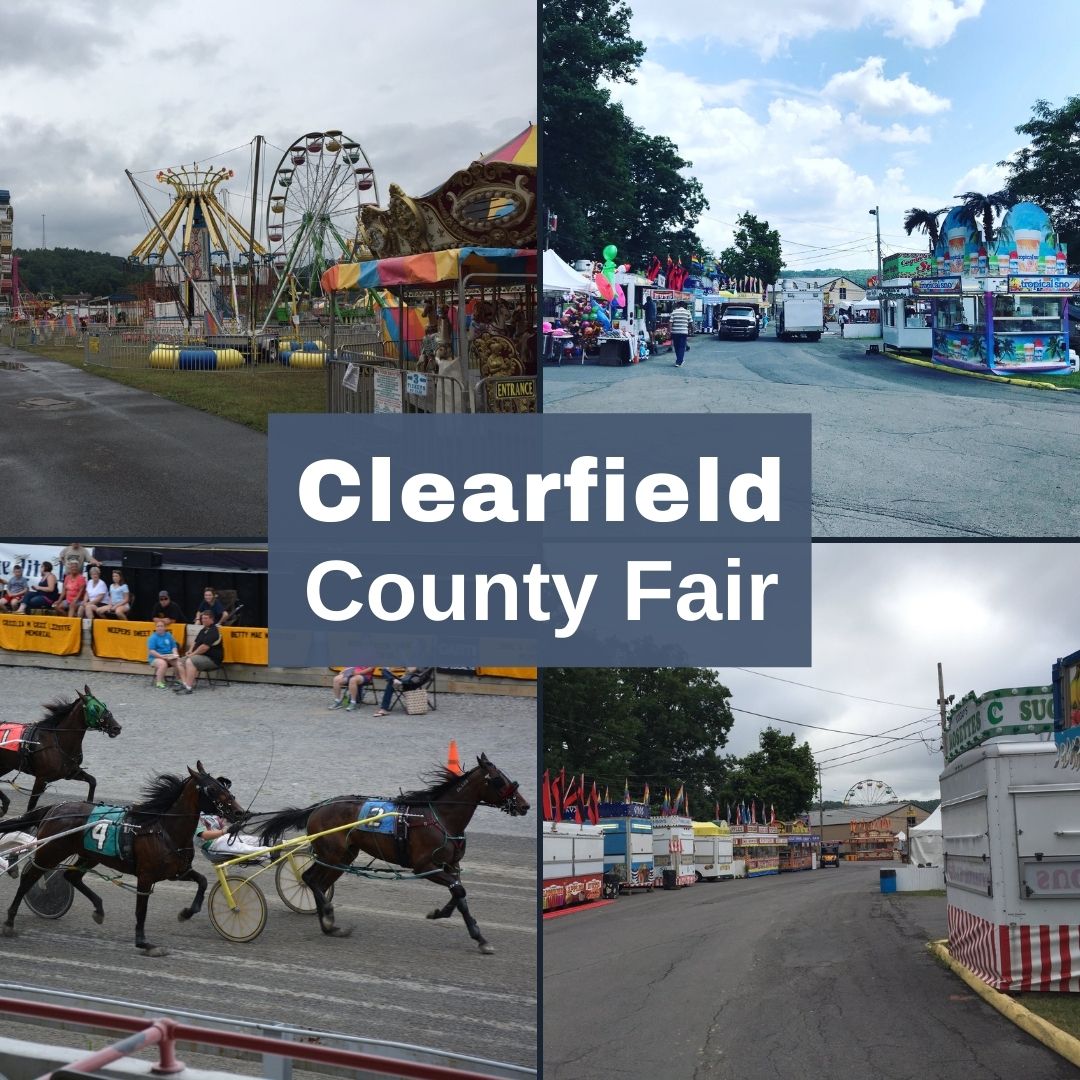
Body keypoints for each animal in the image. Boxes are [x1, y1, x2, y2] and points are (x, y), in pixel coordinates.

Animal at [0, 760, 245, 954]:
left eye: (223, 785)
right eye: (211, 789)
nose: (239, 812)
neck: (162, 829)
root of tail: (53, 808)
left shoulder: (178, 870)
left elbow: (202, 882)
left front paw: (185, 913)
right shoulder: (145, 876)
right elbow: (141, 909)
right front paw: (144, 943)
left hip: (90, 854)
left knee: (72, 876)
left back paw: (99, 909)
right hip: (50, 852)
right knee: (29, 878)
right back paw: (10, 921)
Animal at [257, 756, 527, 950]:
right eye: (498, 779)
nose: (525, 805)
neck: (440, 818)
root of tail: (317, 807)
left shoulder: (451, 865)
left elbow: (458, 893)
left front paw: (446, 916)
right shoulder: (424, 866)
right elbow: (459, 891)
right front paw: (478, 936)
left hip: (343, 857)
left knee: (319, 884)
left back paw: (328, 923)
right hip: (331, 854)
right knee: (309, 879)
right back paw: (329, 922)